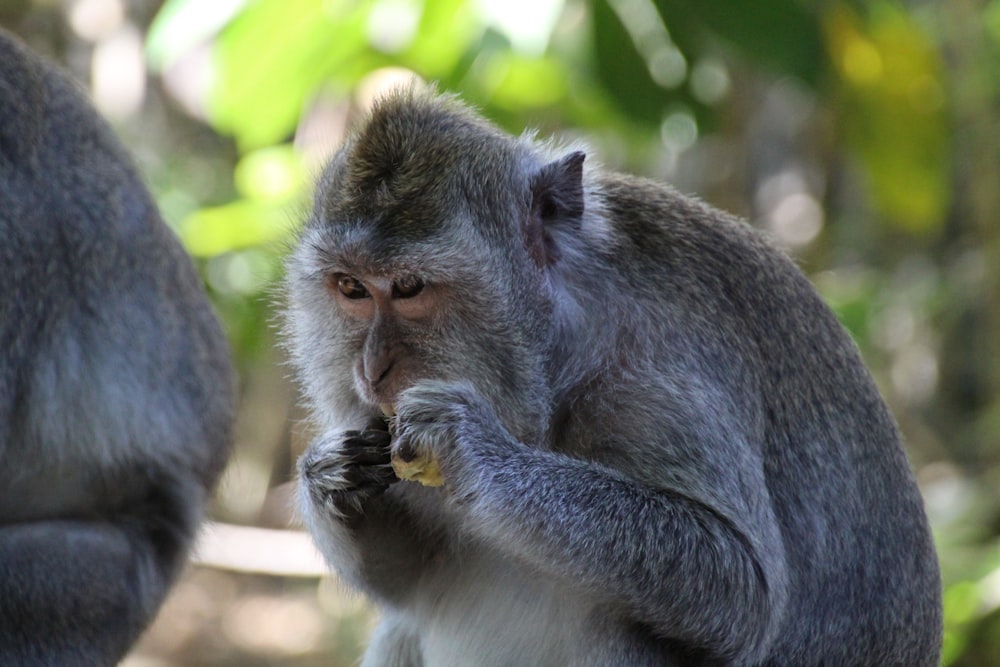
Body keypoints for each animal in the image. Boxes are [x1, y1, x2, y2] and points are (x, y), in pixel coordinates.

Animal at [286, 86, 940, 664]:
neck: (565, 360)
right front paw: (330, 473)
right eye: (351, 288)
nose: (371, 370)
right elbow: (411, 576)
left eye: (409, 287)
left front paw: (470, 447)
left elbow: (744, 586)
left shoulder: (661, 381)